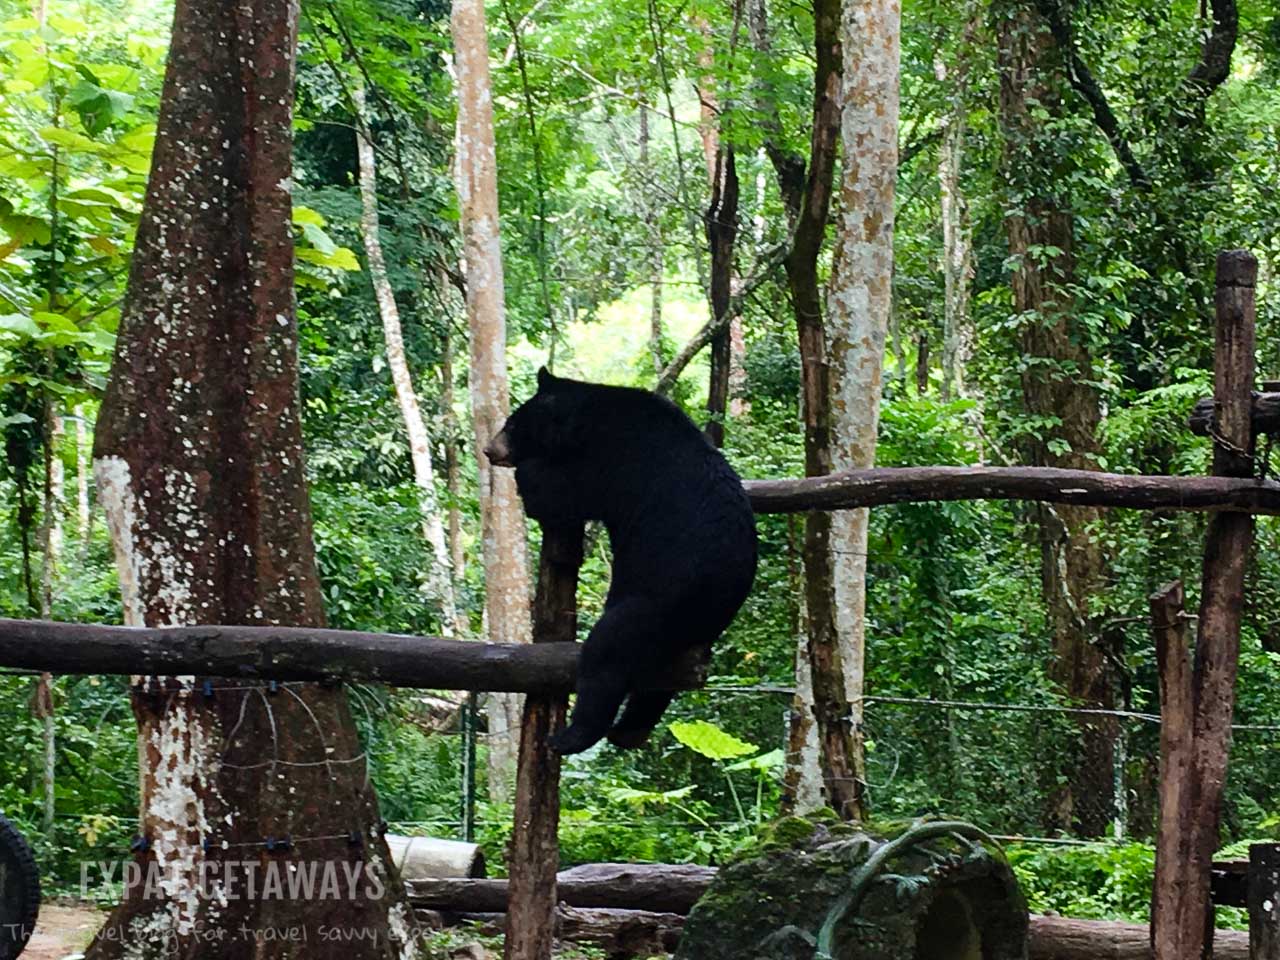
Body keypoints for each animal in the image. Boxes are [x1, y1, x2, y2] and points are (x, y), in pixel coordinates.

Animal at [483, 371, 752, 757]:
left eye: (514, 424)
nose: (491, 450)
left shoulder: (610, 461)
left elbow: (560, 494)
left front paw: (529, 475)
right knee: (658, 682)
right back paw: (629, 732)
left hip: (657, 600)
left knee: (606, 655)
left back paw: (570, 736)